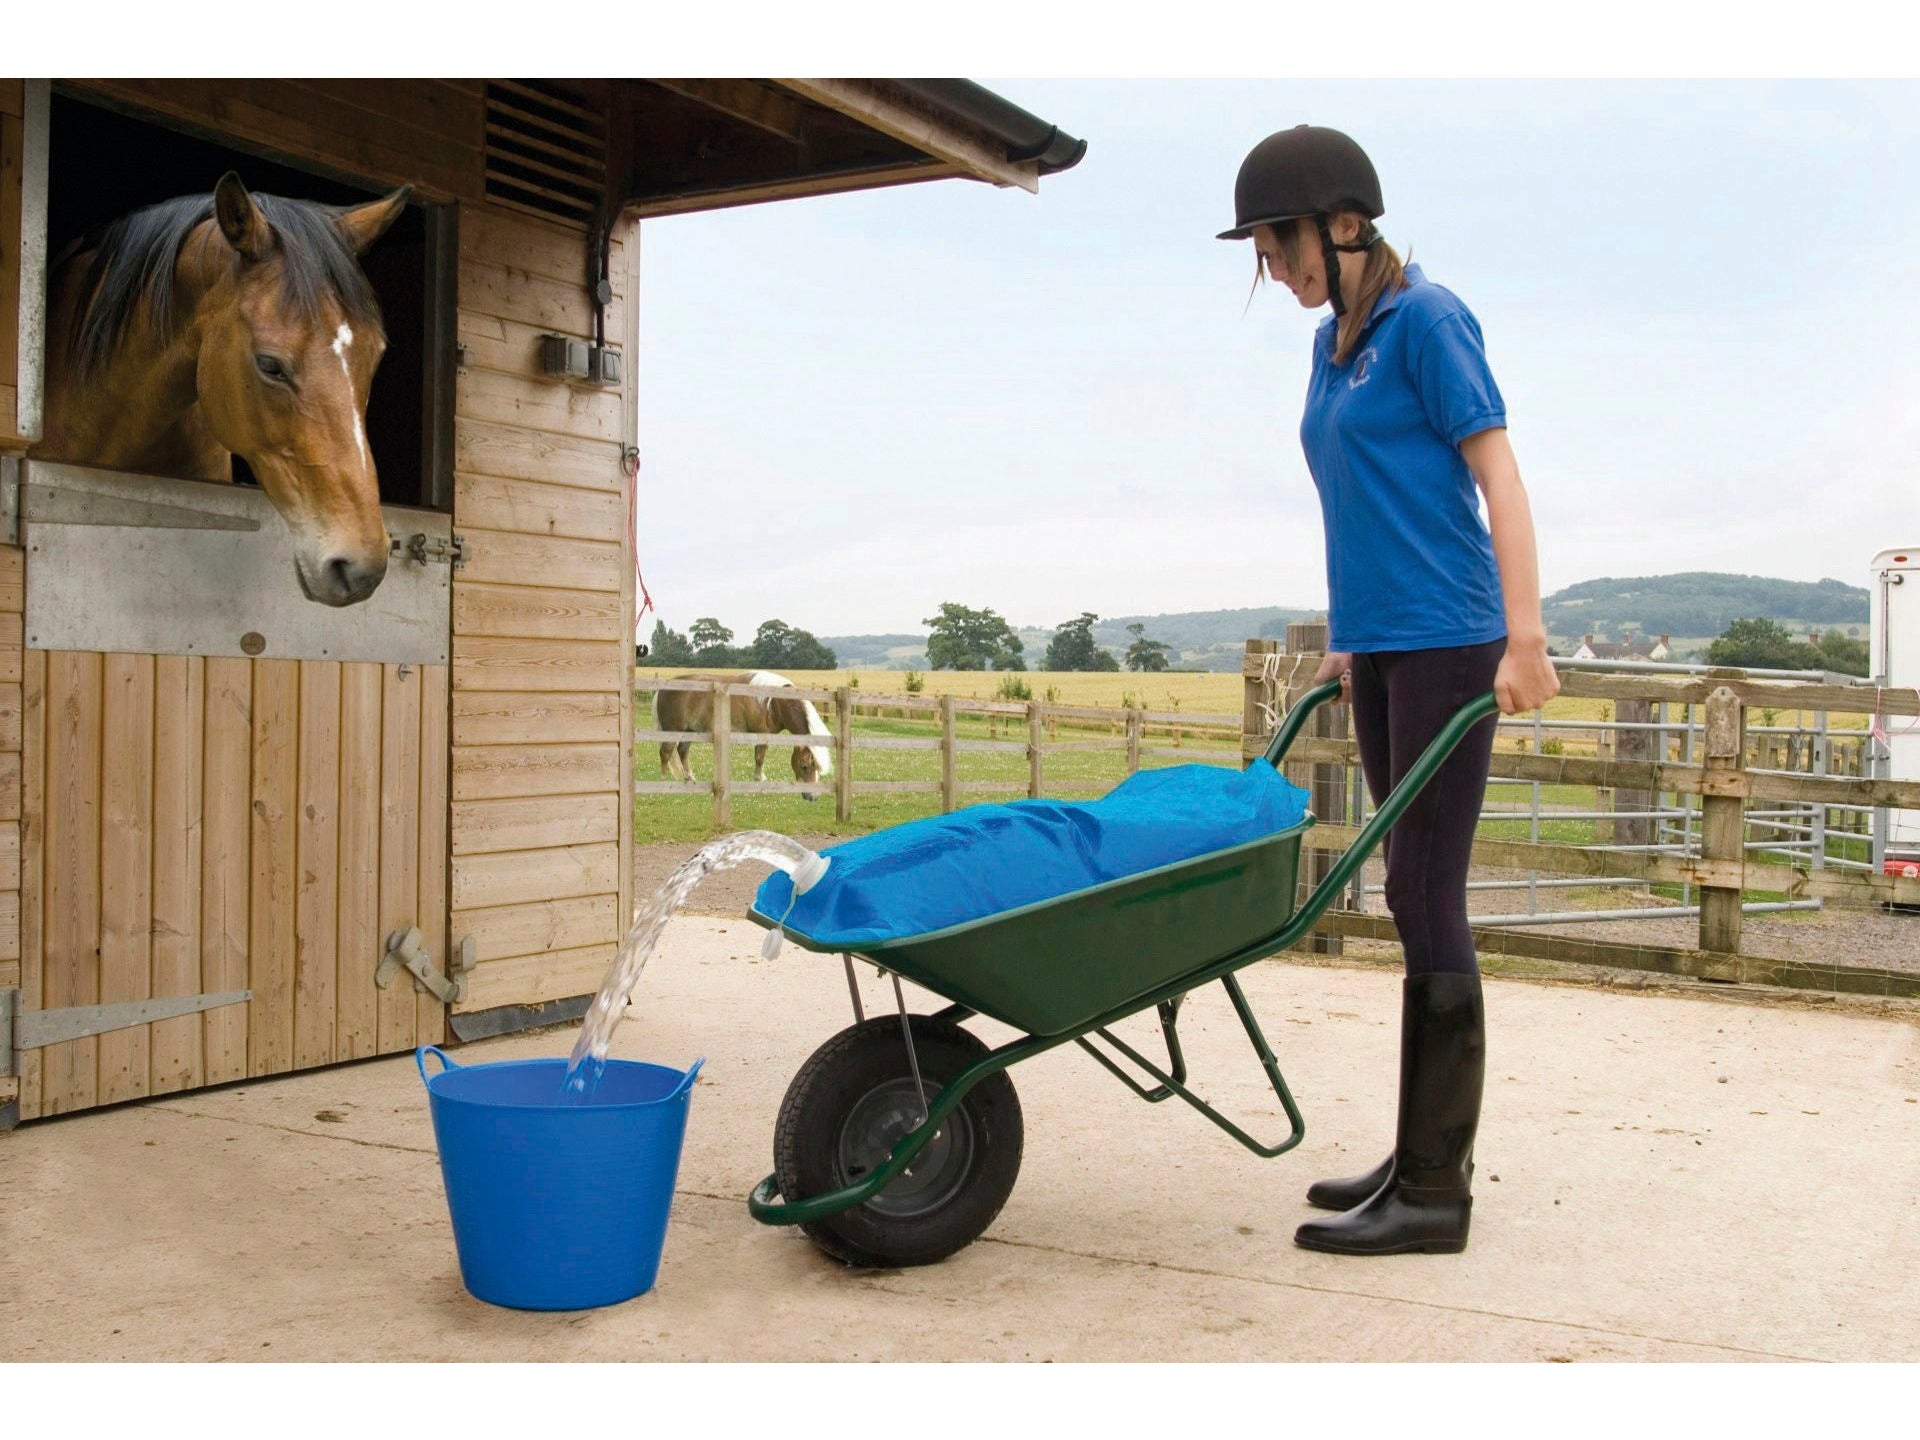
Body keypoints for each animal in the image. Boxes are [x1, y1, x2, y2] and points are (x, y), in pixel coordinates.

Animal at [653, 671, 834, 799]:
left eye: (817, 767)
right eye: (804, 766)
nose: (813, 796)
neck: (773, 703)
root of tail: (662, 689)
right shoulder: (761, 733)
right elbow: (759, 758)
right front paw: (759, 780)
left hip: (689, 732)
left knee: (682, 752)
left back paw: (689, 779)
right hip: (673, 731)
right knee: (665, 753)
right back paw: (663, 782)